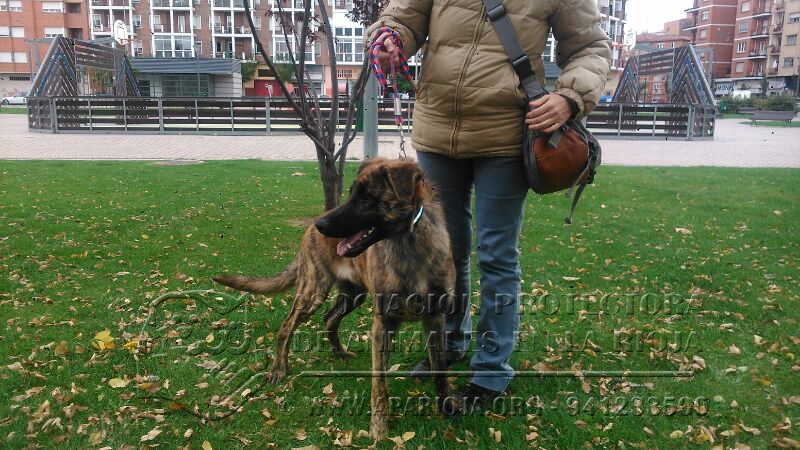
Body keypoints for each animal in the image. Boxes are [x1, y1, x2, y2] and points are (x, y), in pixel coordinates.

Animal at [214, 158, 460, 438]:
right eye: (350, 193)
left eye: (366, 197)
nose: (321, 226)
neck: (407, 246)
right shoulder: (383, 324)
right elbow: (379, 384)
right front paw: (378, 427)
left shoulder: (435, 319)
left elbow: (440, 370)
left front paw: (446, 408)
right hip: (313, 291)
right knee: (287, 325)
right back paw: (279, 368)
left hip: (354, 295)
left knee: (329, 318)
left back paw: (338, 352)